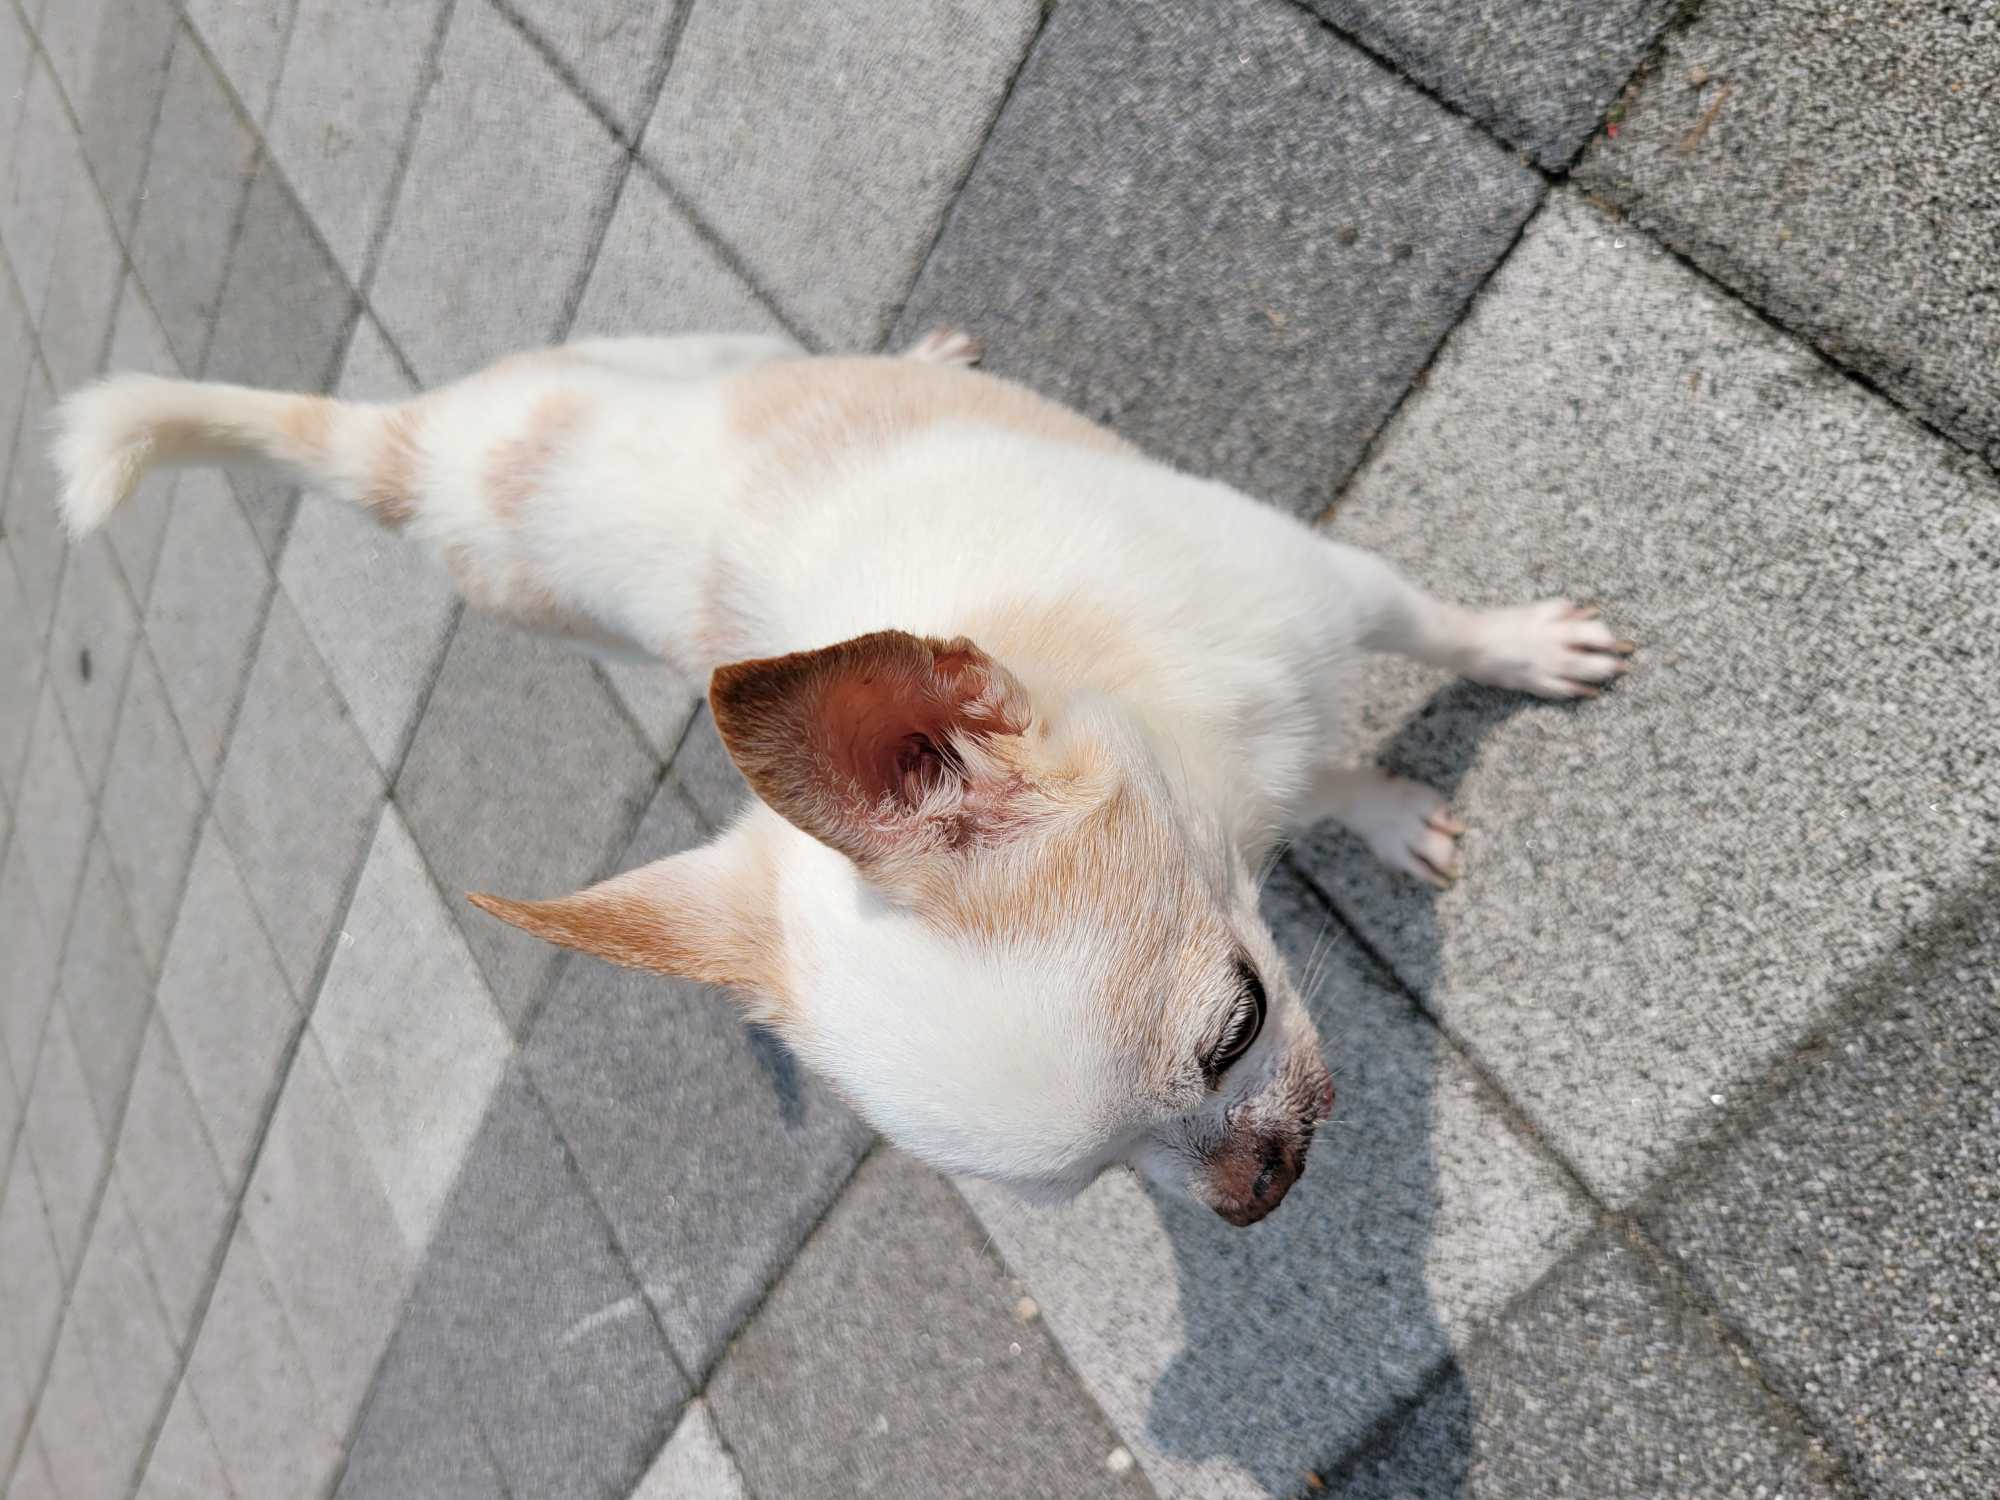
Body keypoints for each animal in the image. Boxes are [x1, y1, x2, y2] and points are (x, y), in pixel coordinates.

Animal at [50, 329, 1631, 1226]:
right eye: (1103, 1183)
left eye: (1235, 1030)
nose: (1258, 1194)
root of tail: (426, 457)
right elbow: (1334, 777)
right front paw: (1388, 811)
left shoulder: (1320, 588)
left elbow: (1429, 630)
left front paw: (1516, 657)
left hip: (649, 352)